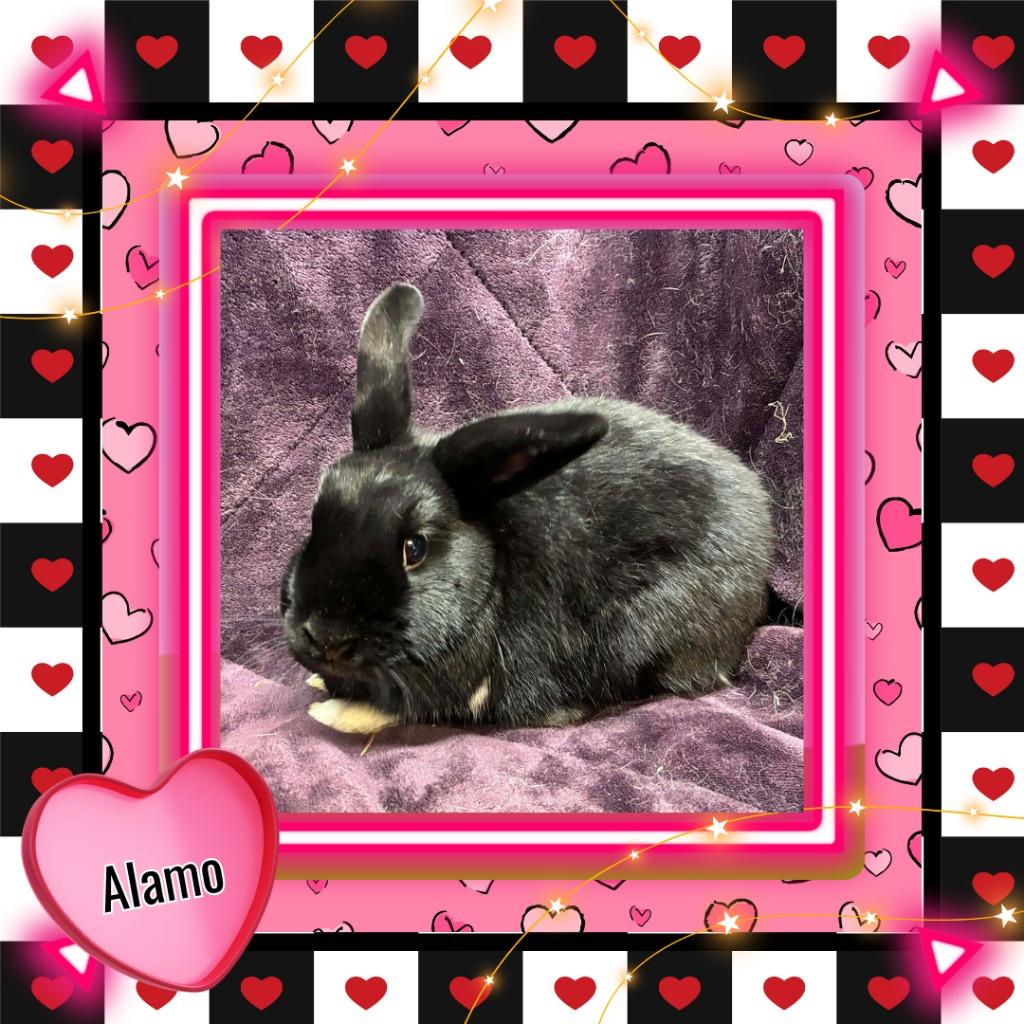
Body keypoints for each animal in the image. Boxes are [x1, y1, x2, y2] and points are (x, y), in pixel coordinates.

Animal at [281, 283, 776, 735]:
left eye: (415, 548)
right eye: (315, 519)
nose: (324, 635)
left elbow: (393, 713)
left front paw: (331, 711)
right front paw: (320, 684)